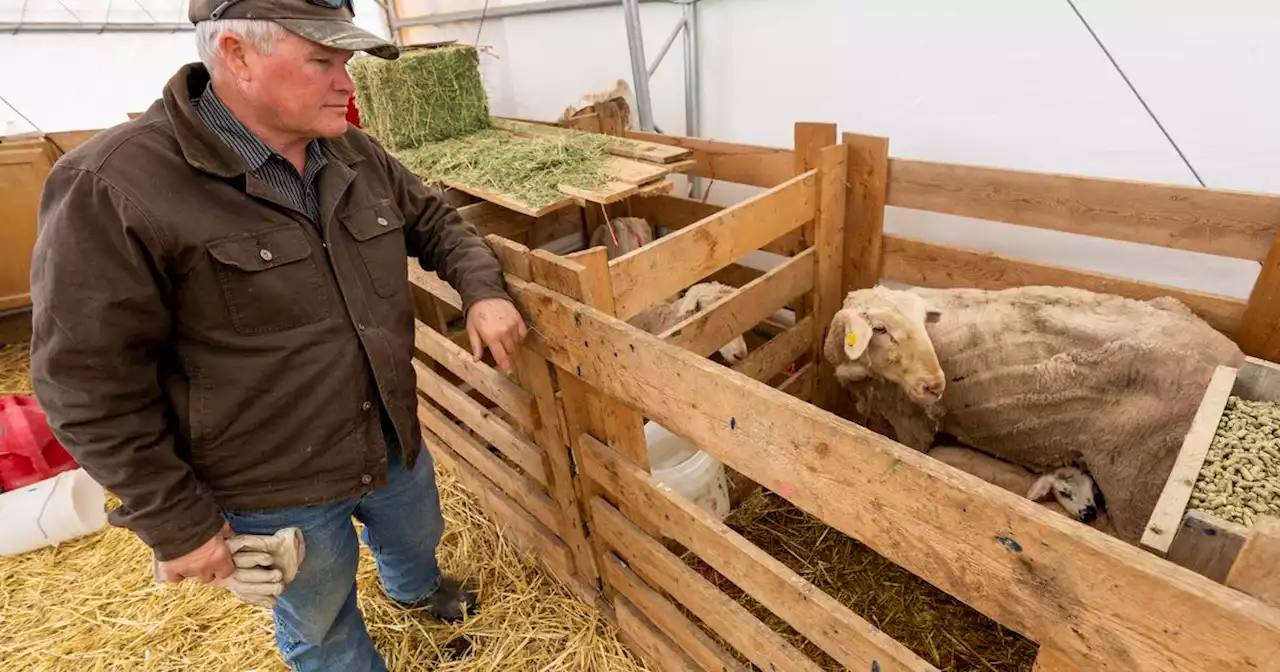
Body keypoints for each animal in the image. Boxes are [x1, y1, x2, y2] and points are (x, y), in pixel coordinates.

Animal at [824, 280, 1244, 542]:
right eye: (880, 329)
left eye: (921, 324)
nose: (934, 385)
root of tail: (1233, 358)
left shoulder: (912, 425)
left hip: (1139, 485)